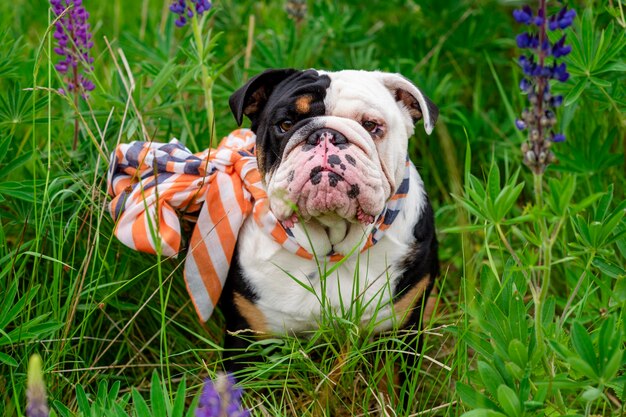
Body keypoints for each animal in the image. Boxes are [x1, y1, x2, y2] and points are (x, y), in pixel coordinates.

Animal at [219, 67, 438, 374]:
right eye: (285, 124)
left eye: (371, 125)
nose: (325, 134)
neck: (331, 248)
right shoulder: (247, 336)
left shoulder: (403, 329)